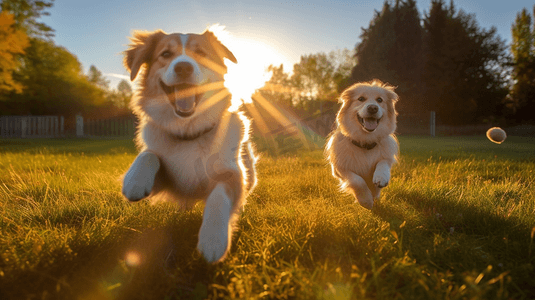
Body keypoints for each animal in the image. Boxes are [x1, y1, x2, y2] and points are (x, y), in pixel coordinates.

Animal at [121, 29, 258, 262]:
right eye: (166, 54)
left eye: (201, 53)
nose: (183, 67)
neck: (189, 134)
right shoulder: (170, 181)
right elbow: (149, 155)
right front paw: (134, 181)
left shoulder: (233, 173)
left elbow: (218, 197)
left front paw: (213, 240)